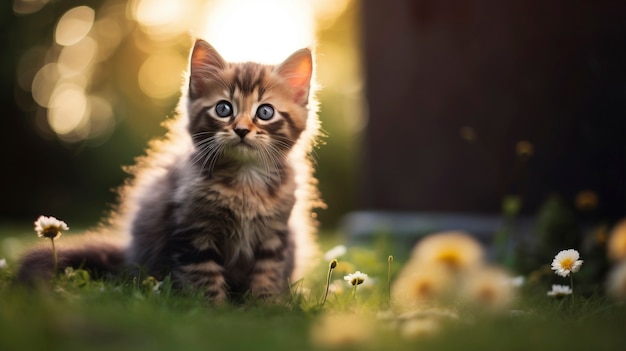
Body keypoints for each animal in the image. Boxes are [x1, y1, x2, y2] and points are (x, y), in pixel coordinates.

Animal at [18, 39, 322, 302]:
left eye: (265, 112)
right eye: (223, 109)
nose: (241, 129)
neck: (245, 181)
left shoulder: (274, 234)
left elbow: (267, 275)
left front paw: (266, 308)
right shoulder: (192, 229)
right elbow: (204, 278)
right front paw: (215, 310)